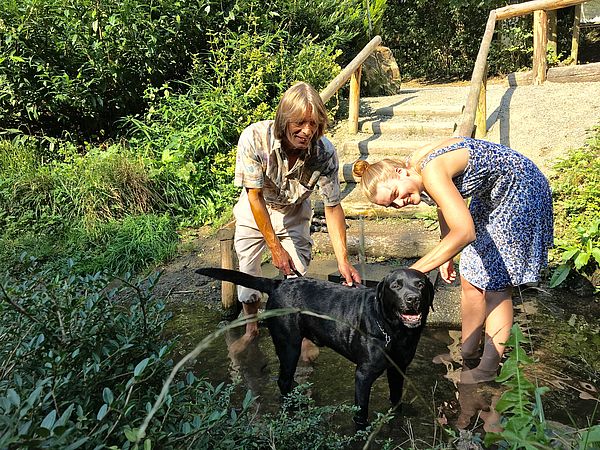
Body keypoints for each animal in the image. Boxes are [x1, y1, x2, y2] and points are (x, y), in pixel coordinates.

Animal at [197, 268, 436, 426]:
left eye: (420, 284)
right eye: (395, 286)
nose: (412, 299)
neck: (394, 331)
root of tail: (278, 284)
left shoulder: (398, 369)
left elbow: (396, 399)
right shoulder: (363, 375)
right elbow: (361, 412)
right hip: (289, 345)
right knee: (283, 380)